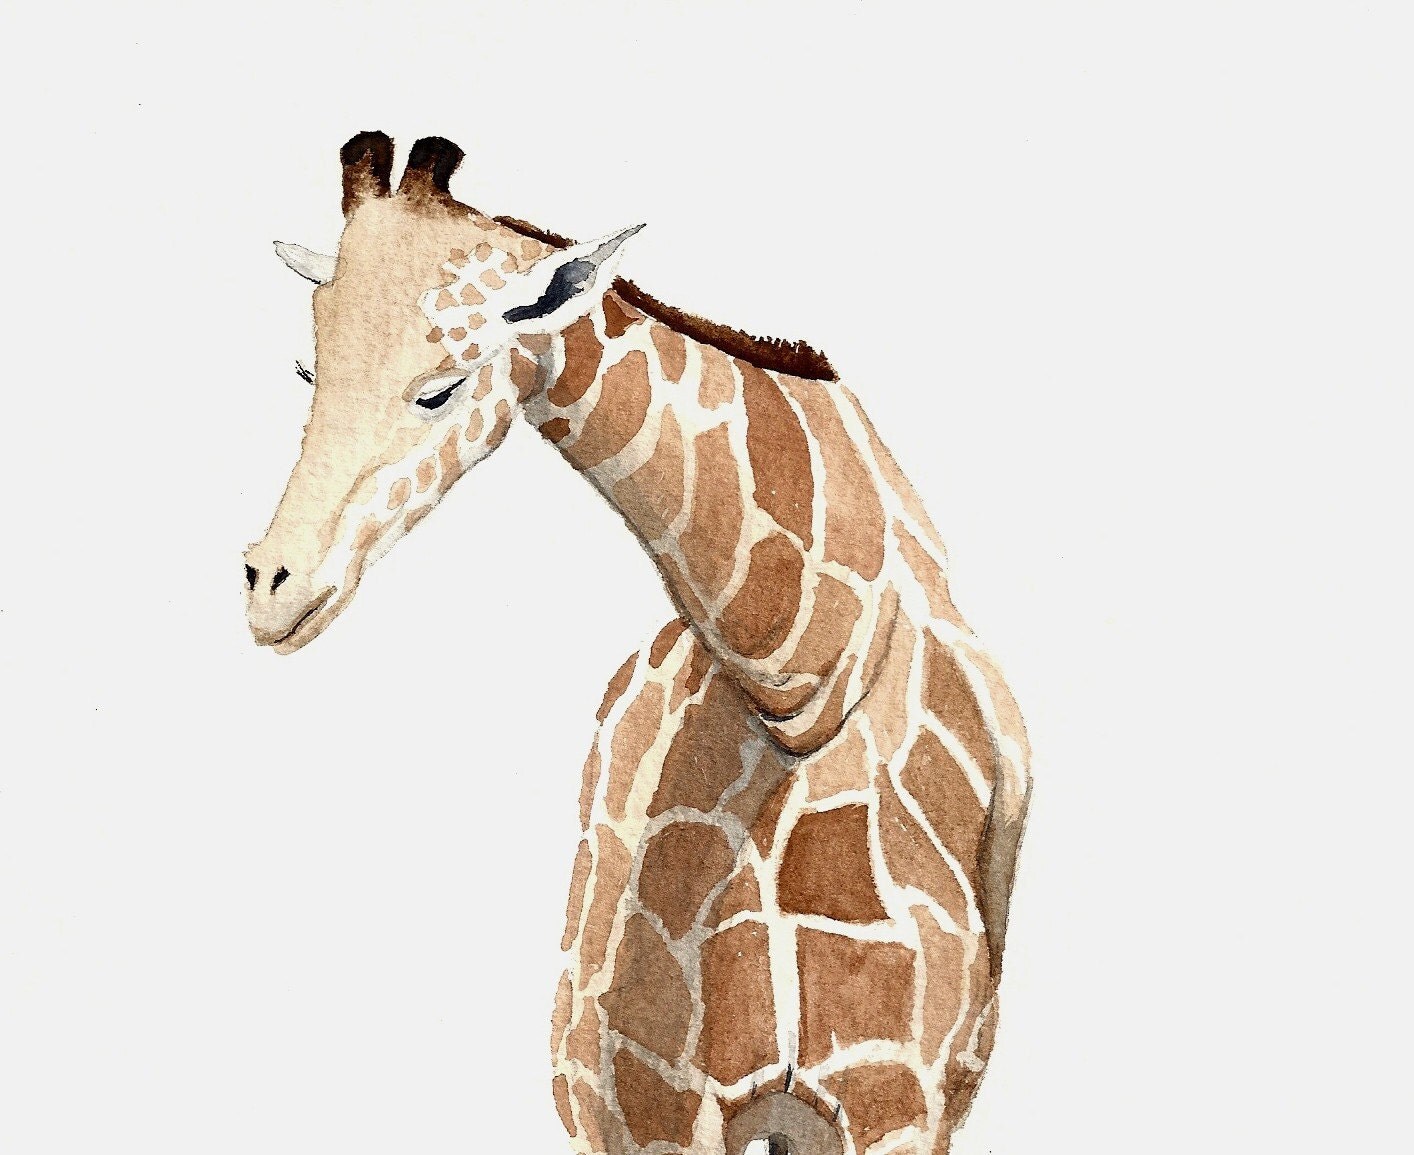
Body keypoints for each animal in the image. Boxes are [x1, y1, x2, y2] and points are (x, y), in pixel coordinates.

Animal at [245, 132, 1032, 1155]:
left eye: (439, 388)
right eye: (310, 372)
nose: (270, 587)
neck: (801, 676)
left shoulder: (898, 1103)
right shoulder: (652, 1104)